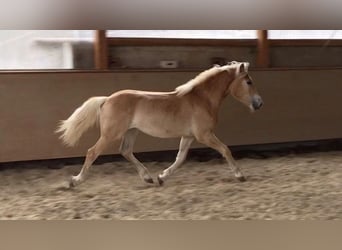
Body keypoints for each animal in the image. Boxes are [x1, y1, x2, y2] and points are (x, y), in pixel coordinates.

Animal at [56, 62, 264, 188]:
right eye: (248, 81)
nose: (259, 103)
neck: (202, 99)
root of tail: (106, 99)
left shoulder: (189, 136)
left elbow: (180, 158)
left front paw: (162, 177)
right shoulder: (204, 134)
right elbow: (225, 149)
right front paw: (240, 175)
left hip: (131, 132)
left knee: (126, 151)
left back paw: (147, 177)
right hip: (111, 134)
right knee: (92, 152)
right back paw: (75, 181)